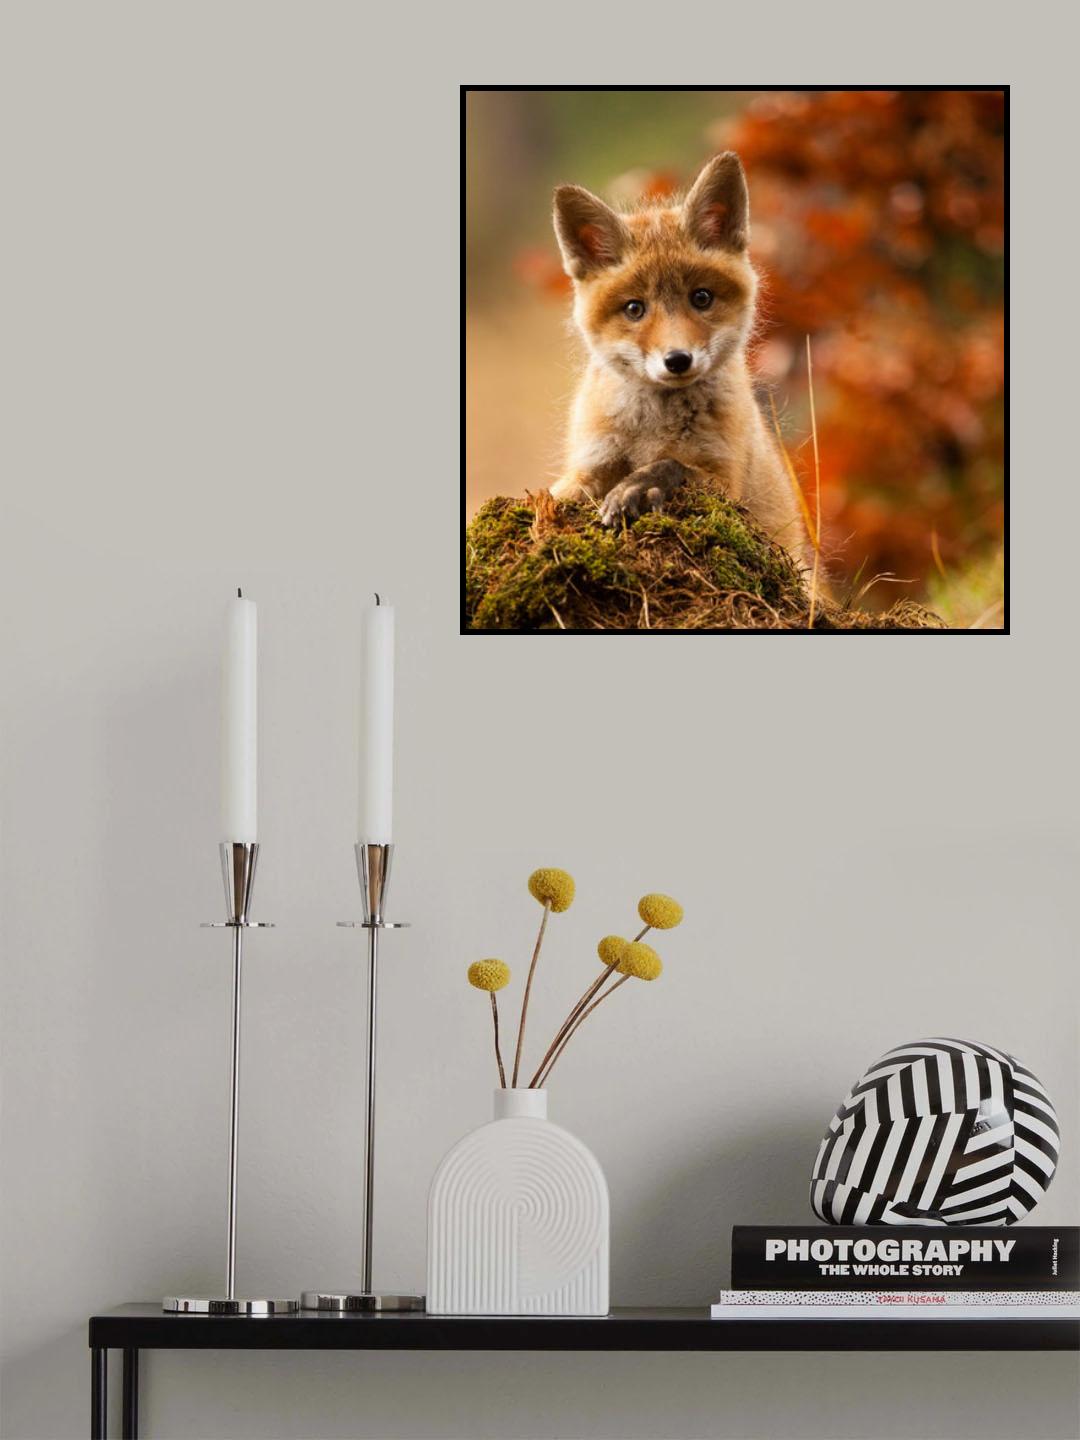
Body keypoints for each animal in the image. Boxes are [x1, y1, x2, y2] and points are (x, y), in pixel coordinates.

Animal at [549, 152, 811, 569]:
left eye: (701, 298)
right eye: (635, 308)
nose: (677, 360)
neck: (653, 428)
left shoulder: (726, 482)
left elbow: (674, 466)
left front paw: (639, 487)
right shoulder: (588, 465)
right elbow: (559, 494)